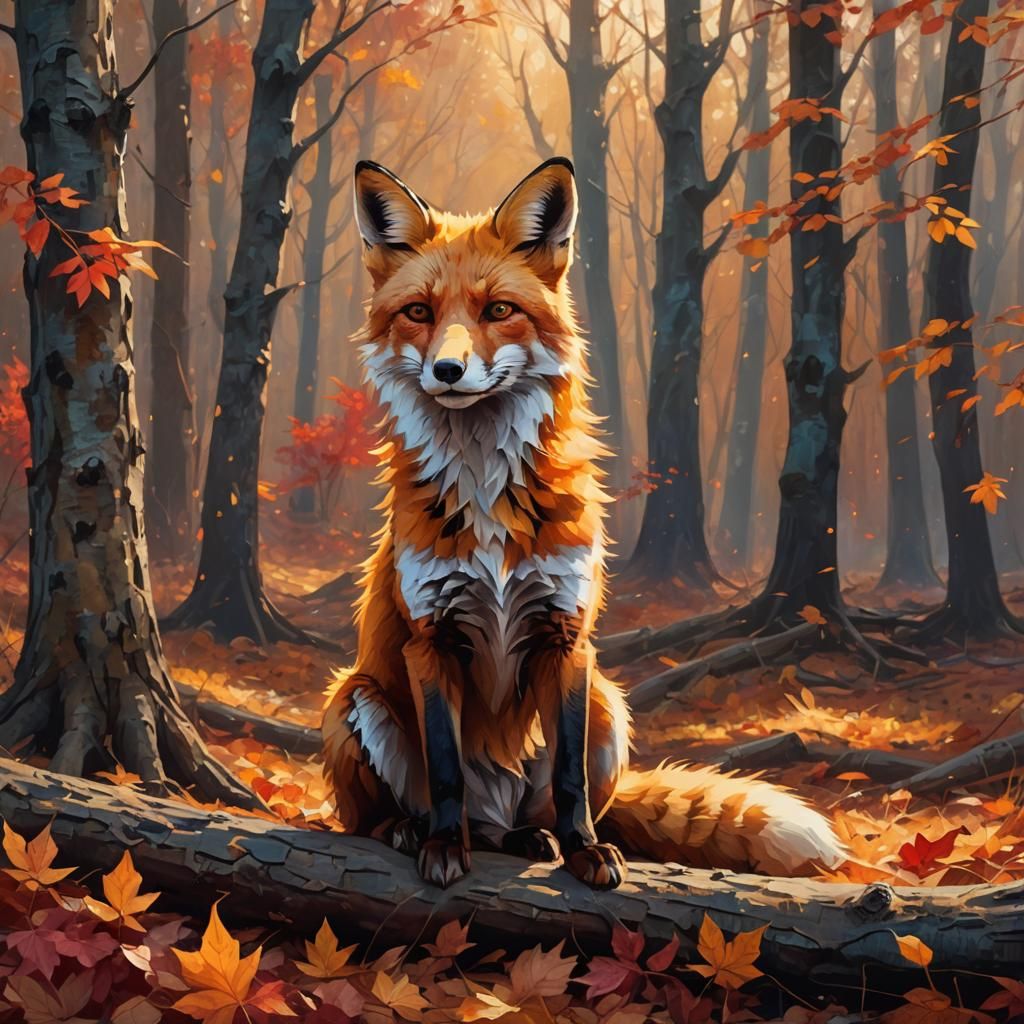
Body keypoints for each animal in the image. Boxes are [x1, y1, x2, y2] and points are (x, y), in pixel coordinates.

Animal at [322, 156, 845, 890]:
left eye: (499, 310)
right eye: (419, 312)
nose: (447, 370)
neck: (487, 494)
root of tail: (496, 811)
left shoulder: (565, 636)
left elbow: (570, 778)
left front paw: (584, 851)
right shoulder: (430, 639)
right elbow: (446, 769)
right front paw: (444, 848)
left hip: (608, 702)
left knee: (543, 809)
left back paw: (533, 839)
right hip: (353, 697)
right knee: (379, 815)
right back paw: (411, 830)